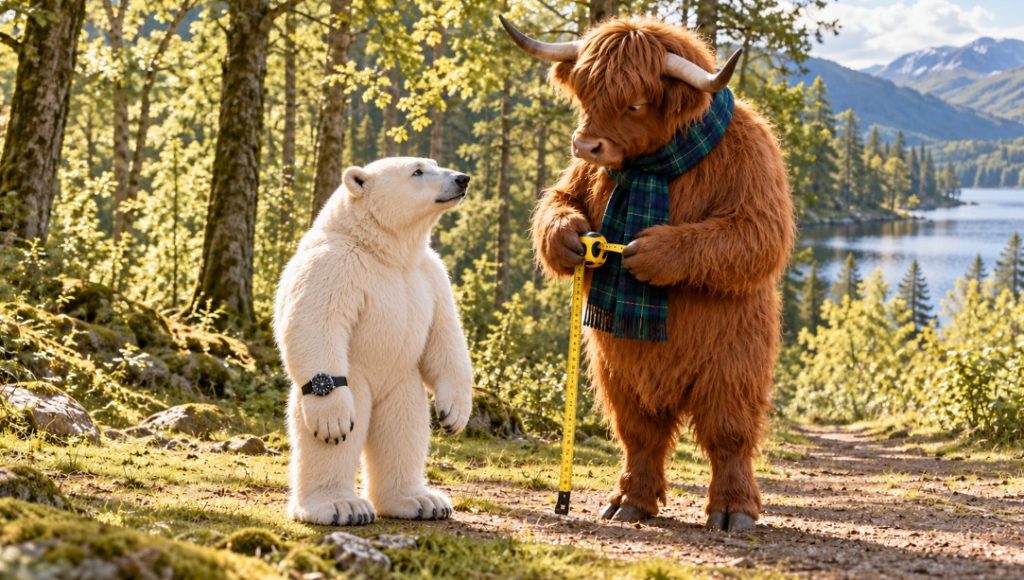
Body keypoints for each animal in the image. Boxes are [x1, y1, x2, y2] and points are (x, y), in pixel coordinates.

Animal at [501, 15, 794, 531]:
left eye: (635, 103)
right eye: (586, 95)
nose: (586, 144)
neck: (658, 165)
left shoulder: (755, 171)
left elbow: (754, 236)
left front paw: (651, 252)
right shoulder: (580, 175)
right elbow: (560, 199)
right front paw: (567, 236)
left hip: (735, 362)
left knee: (729, 433)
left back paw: (732, 510)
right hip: (616, 367)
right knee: (640, 431)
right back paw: (629, 501)